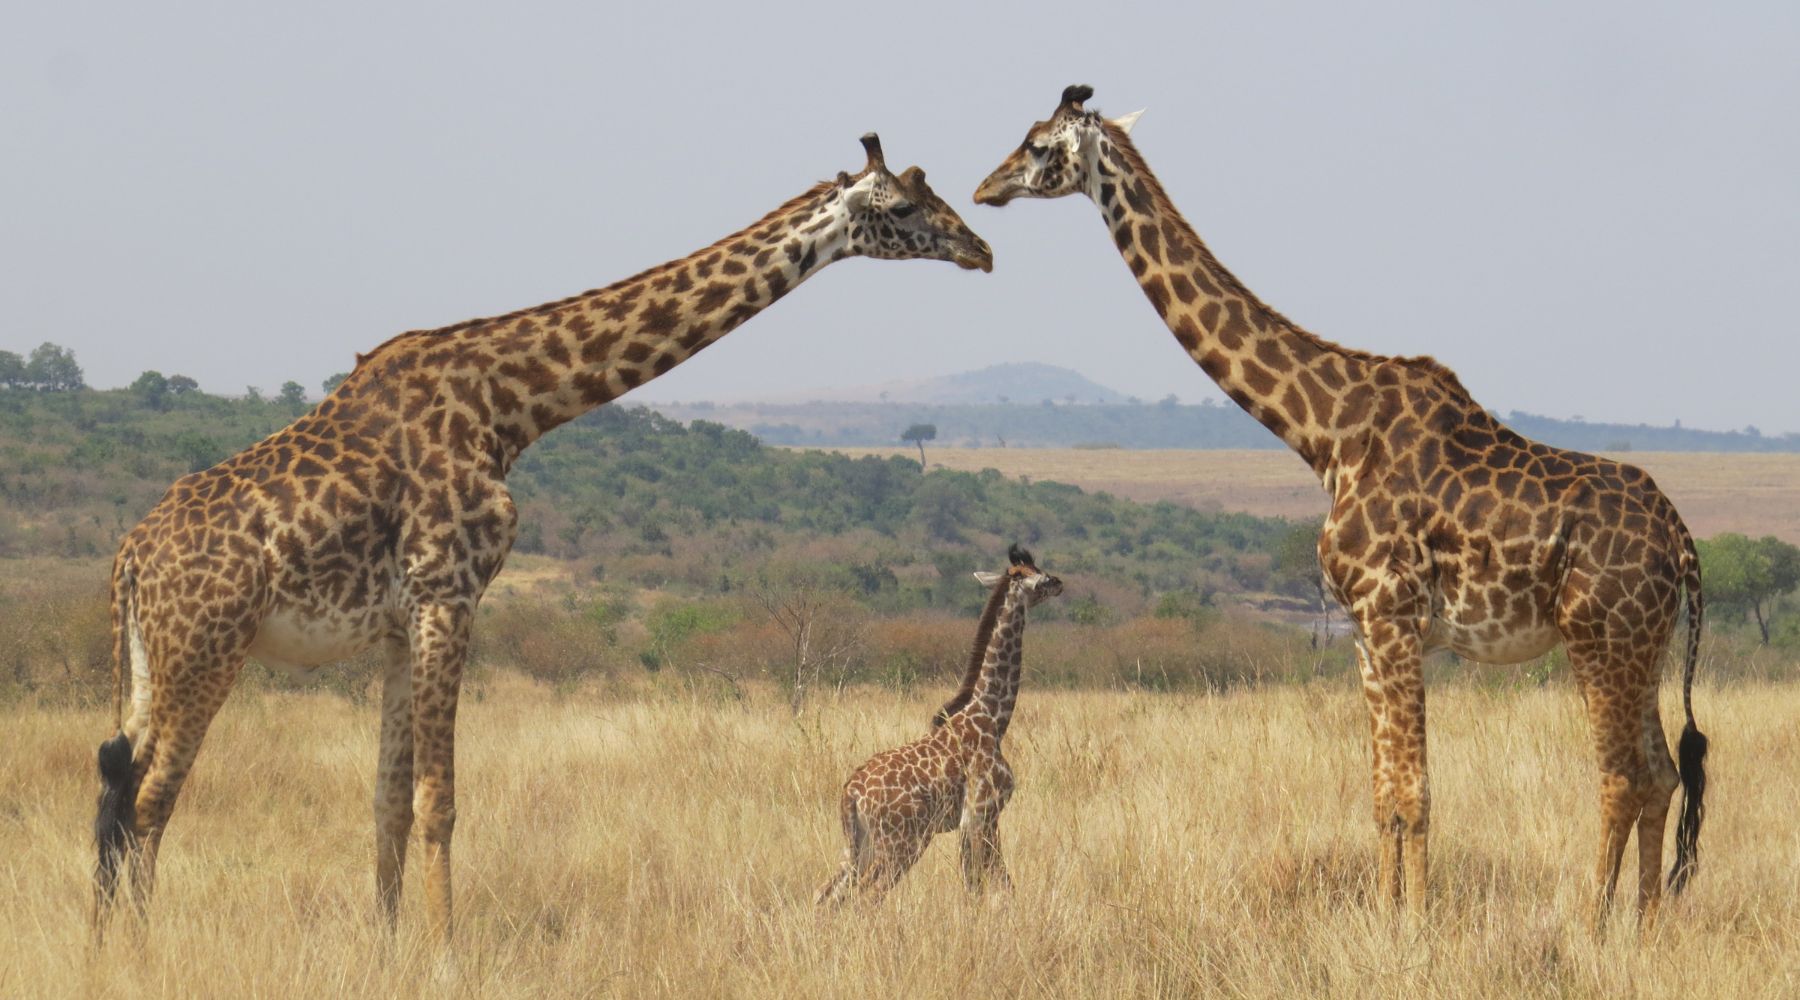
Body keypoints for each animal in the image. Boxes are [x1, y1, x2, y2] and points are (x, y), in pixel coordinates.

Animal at [91, 134, 993, 942]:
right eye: (904, 207)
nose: (979, 247)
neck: (510, 404)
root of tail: (130, 561)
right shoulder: (449, 594)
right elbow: (439, 801)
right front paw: (445, 957)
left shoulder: (400, 623)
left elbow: (386, 801)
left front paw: (387, 949)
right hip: (207, 650)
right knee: (151, 799)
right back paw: (141, 948)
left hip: (149, 661)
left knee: (115, 784)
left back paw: (106, 943)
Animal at [824, 546, 1058, 906]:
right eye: (1041, 577)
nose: (1060, 583)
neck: (992, 717)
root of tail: (850, 793)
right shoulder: (983, 813)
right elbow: (998, 882)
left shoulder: (970, 822)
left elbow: (975, 883)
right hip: (902, 842)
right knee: (866, 897)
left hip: (857, 846)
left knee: (827, 896)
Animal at [979, 85, 1706, 920]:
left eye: (1038, 146)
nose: (985, 187)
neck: (1326, 433)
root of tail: (1683, 541)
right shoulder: (1364, 629)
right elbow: (1384, 793)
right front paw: (1387, 916)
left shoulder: (1392, 616)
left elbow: (1417, 793)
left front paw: (1418, 924)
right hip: (1645, 643)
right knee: (1663, 774)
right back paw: (1645, 922)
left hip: (1599, 638)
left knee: (1622, 776)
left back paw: (1592, 924)